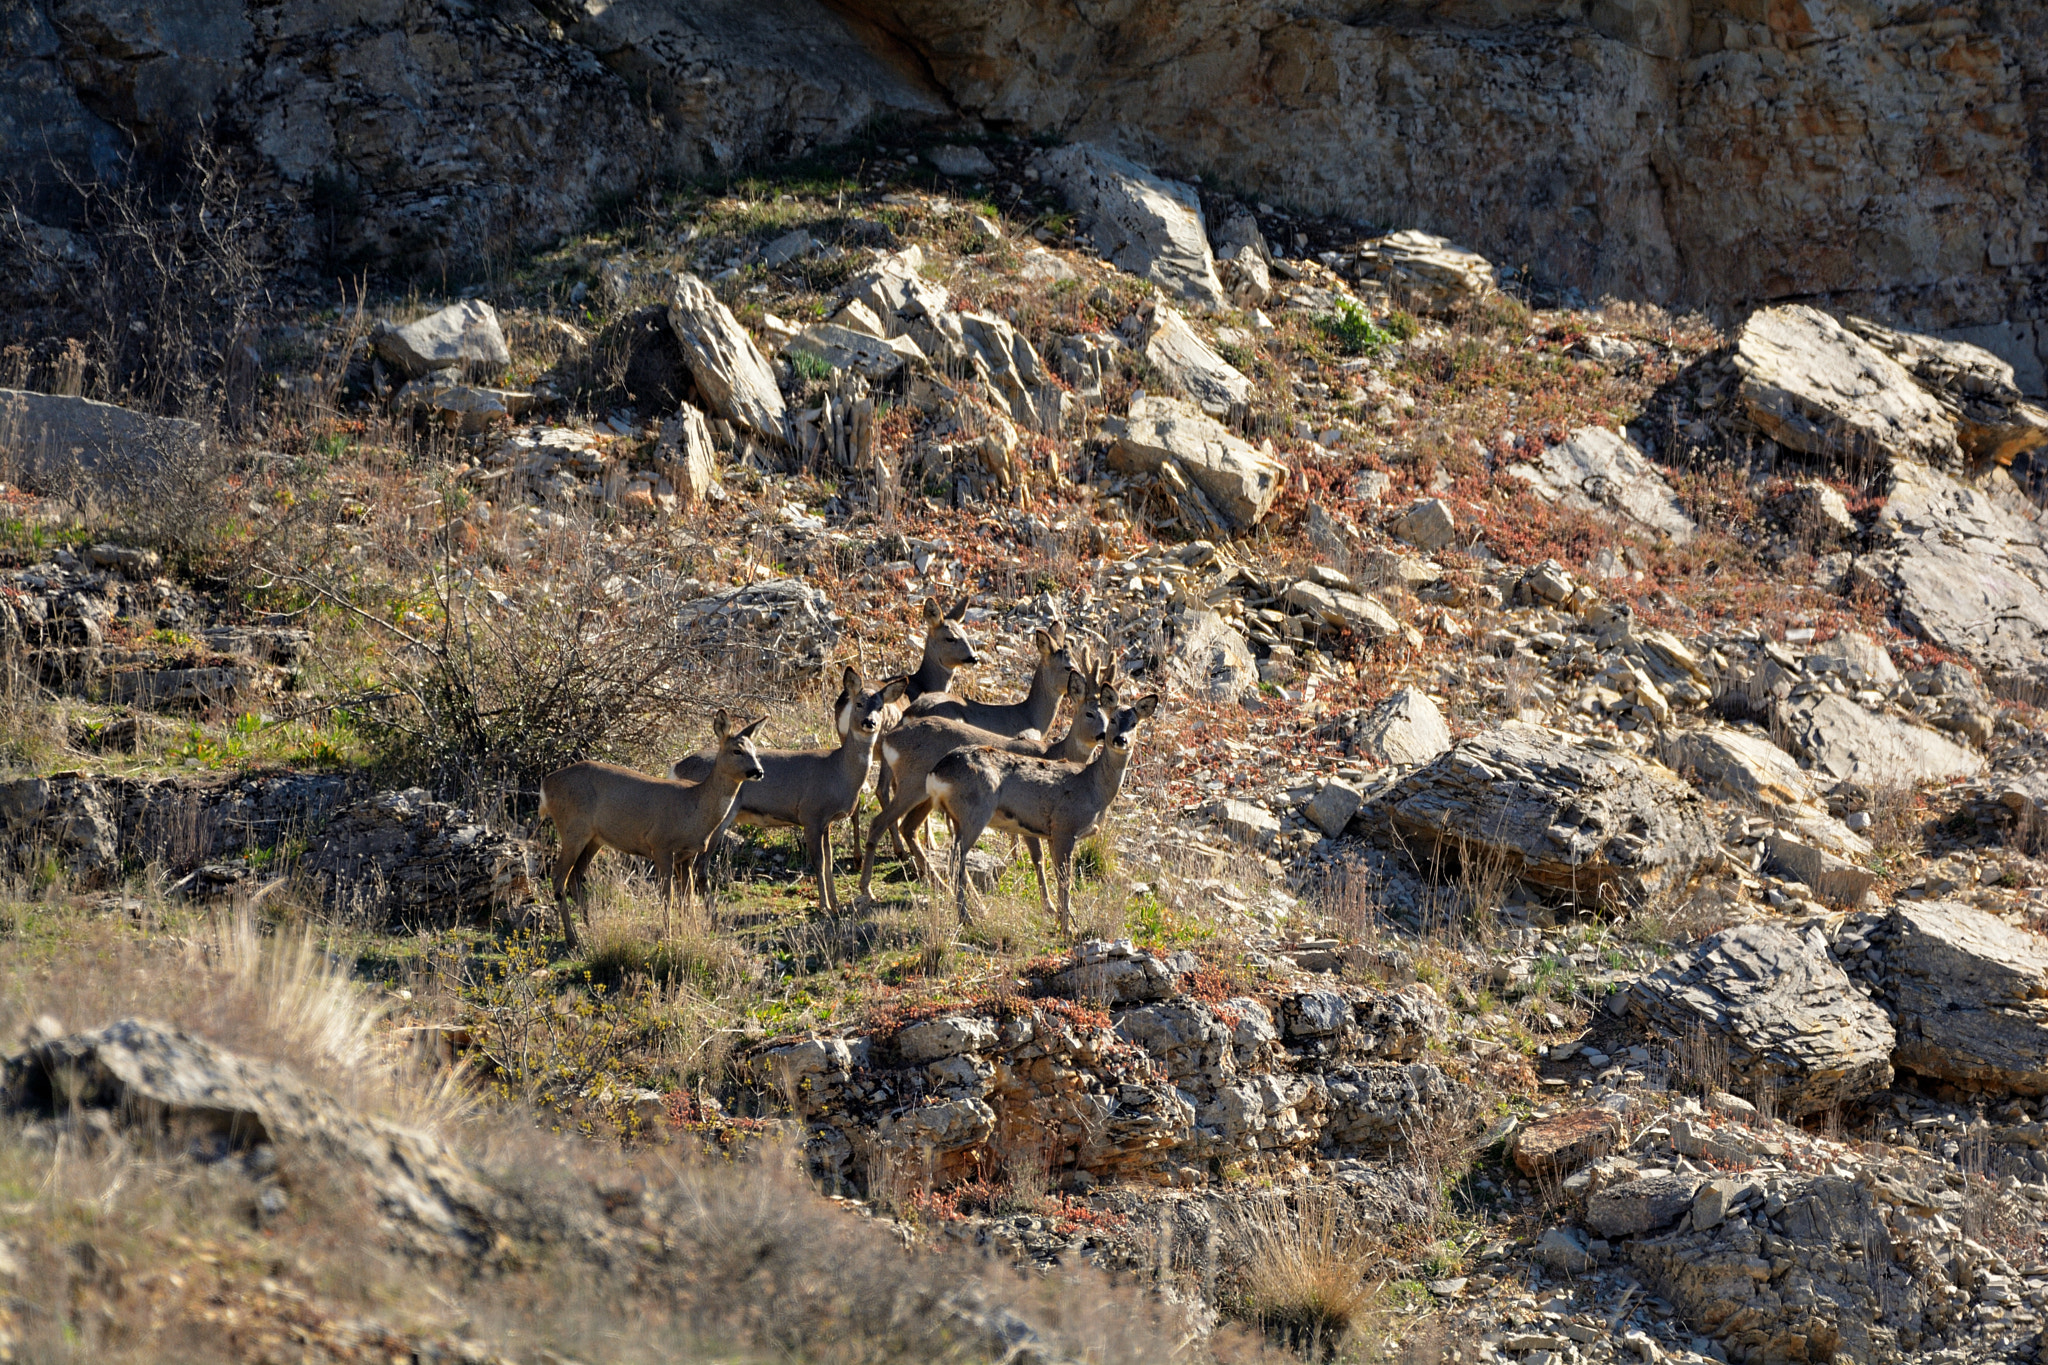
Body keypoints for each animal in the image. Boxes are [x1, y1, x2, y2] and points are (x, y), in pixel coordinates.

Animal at [540, 712, 765, 945]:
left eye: (755, 750)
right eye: (737, 750)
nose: (758, 771)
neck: (695, 807)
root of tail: (545, 784)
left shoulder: (686, 855)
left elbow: (687, 896)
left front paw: (691, 933)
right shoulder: (660, 845)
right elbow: (668, 896)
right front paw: (669, 937)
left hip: (594, 838)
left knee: (575, 875)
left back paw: (589, 928)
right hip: (573, 828)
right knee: (558, 876)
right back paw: (573, 938)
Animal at [671, 667, 905, 912]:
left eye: (880, 707)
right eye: (859, 703)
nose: (870, 722)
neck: (838, 770)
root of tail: (676, 767)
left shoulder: (826, 822)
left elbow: (830, 862)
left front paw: (836, 904)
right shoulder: (811, 813)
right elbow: (819, 862)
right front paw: (825, 907)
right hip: (714, 818)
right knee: (697, 865)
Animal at [925, 695, 1155, 941]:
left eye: (1134, 723)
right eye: (1113, 719)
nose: (1120, 739)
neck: (1093, 787)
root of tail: (937, 771)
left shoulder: (1053, 834)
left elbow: (1057, 874)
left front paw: (1063, 920)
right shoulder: (1065, 826)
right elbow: (1066, 879)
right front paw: (1067, 928)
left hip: (957, 818)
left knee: (956, 859)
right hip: (975, 811)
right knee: (956, 859)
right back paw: (966, 919)